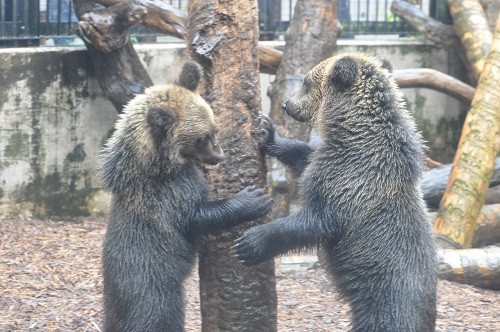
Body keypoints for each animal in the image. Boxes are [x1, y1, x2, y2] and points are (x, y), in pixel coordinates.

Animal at [99, 61, 272, 330]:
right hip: (153, 291)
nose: (219, 156)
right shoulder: (169, 194)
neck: (157, 165)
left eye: (215, 128)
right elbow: (196, 216)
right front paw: (252, 198)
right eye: (202, 138)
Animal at [236, 53, 436, 330]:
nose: (287, 104)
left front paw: (250, 242)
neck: (354, 133)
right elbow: (305, 158)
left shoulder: (353, 181)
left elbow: (317, 220)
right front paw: (267, 134)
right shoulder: (333, 161)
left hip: (386, 301)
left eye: (306, 82)